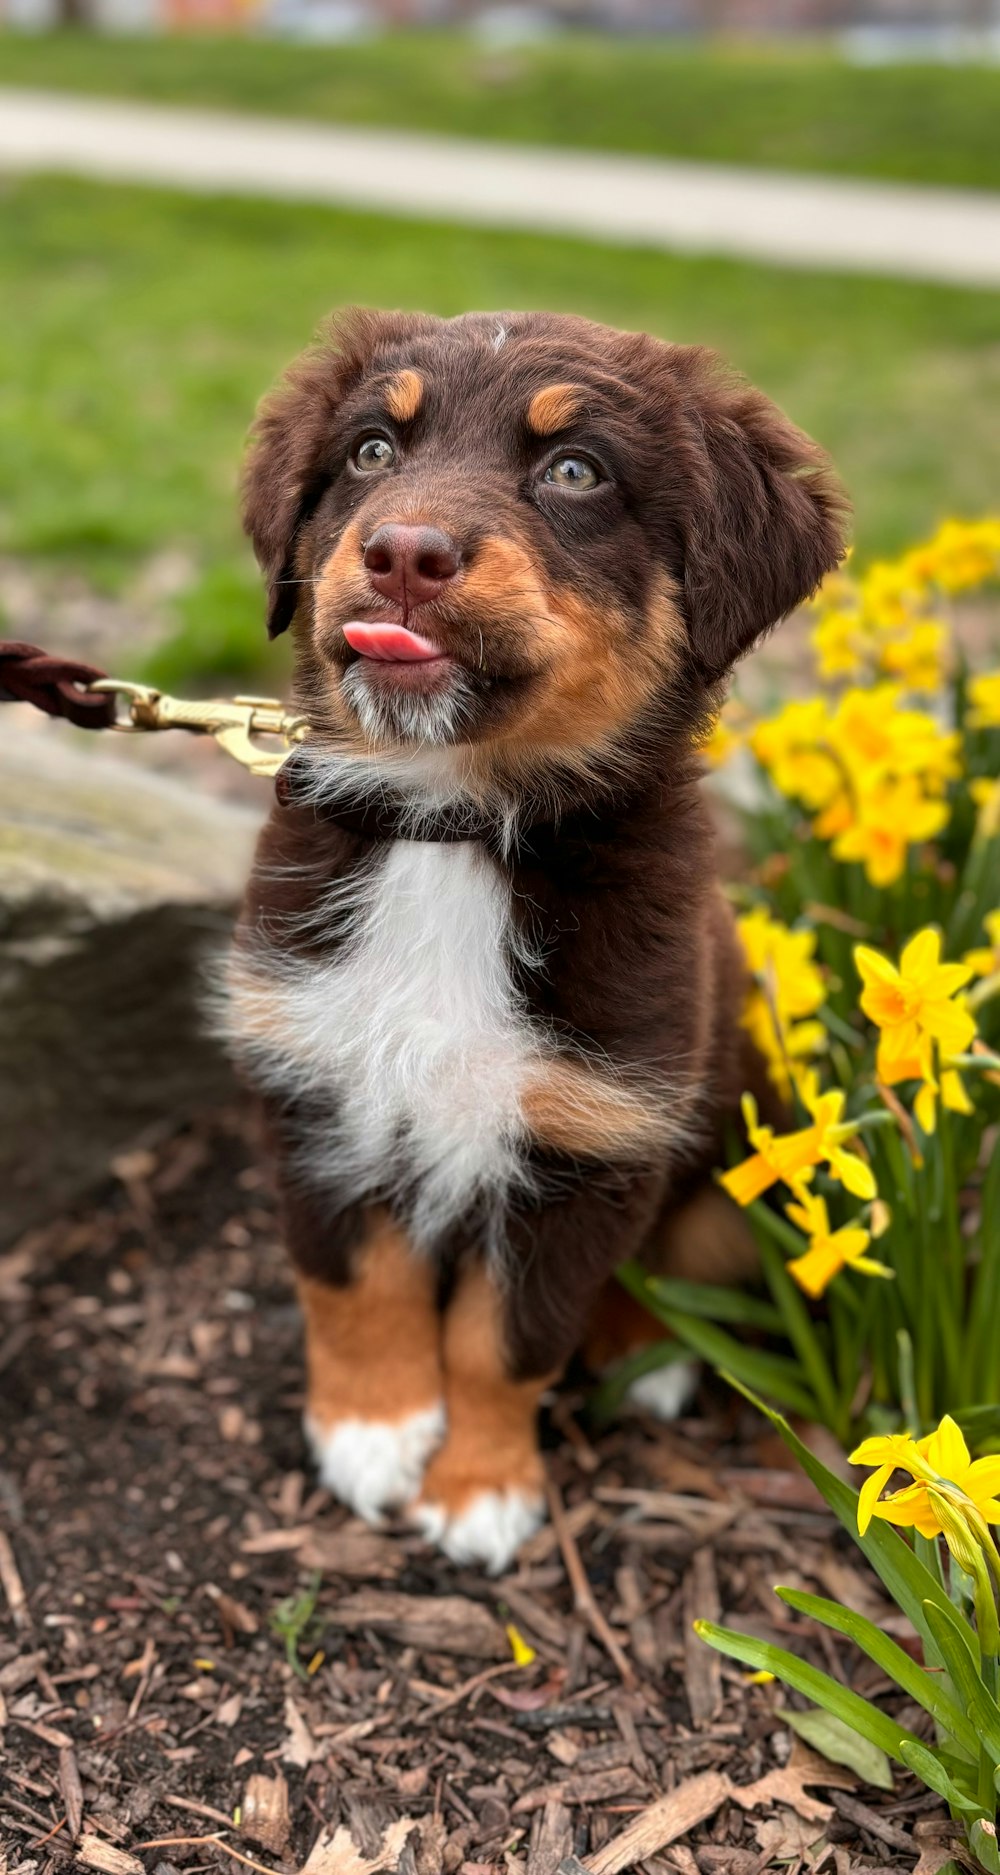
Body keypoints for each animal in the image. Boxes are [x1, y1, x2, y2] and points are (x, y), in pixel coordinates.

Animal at [224, 315, 840, 1575]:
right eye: (371, 450)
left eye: (574, 472)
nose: (404, 553)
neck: (456, 826)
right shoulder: (314, 1078)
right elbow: (349, 1282)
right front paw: (371, 1431)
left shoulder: (590, 1142)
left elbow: (505, 1338)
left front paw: (477, 1492)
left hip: (735, 1162)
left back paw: (644, 1356)